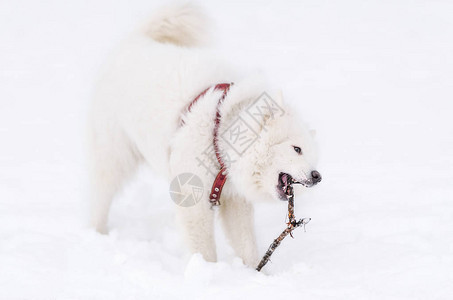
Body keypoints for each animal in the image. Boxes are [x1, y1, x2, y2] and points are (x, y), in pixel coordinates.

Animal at [88, 2, 320, 268]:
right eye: (296, 149)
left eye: (313, 157)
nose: (317, 176)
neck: (219, 134)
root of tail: (134, 38)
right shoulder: (192, 197)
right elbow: (204, 247)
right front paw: (207, 269)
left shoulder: (233, 199)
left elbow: (246, 243)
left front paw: (254, 272)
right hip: (113, 155)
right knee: (100, 194)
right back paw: (97, 232)